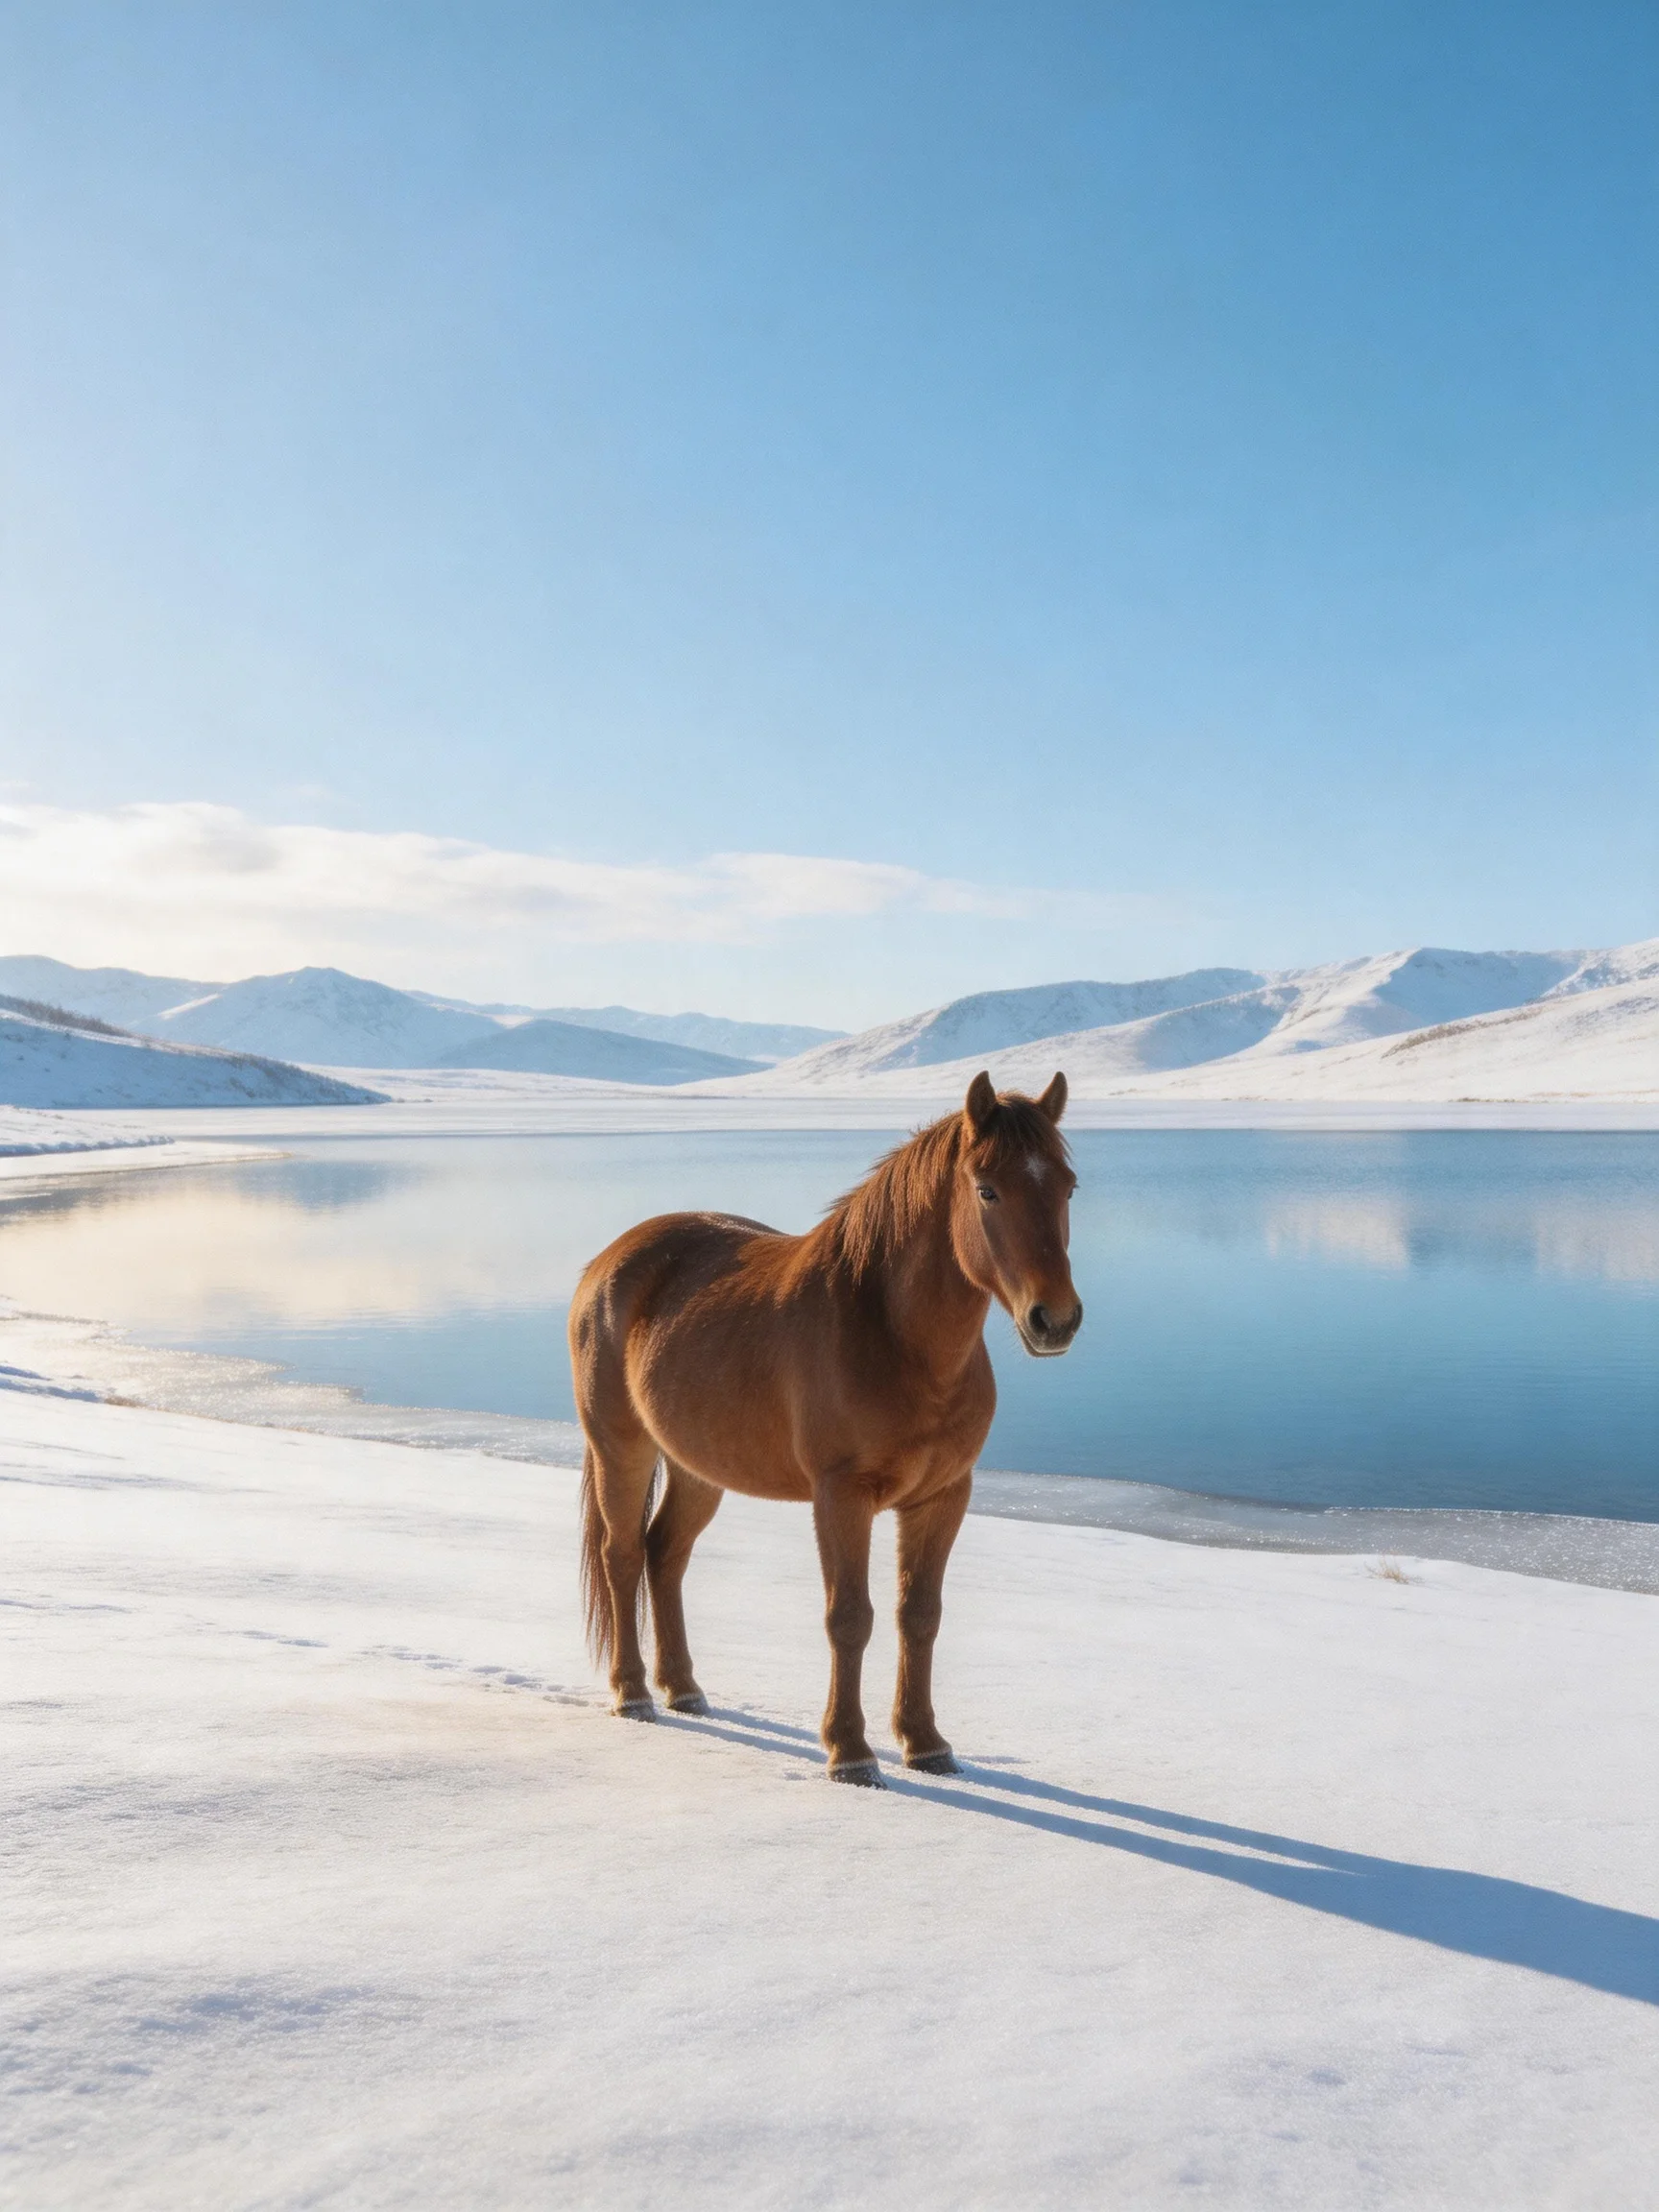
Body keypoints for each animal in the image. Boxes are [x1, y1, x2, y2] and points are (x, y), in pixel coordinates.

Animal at [567, 1070, 1082, 1785]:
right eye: (988, 1189)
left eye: (1067, 1186)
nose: (1054, 1319)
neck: (891, 1334)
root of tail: (607, 1262)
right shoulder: (842, 1497)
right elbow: (850, 1617)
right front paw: (850, 1752)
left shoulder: (943, 1497)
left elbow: (919, 1616)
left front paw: (925, 1743)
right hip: (622, 1448)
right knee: (621, 1555)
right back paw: (634, 1693)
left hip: (699, 1467)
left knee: (664, 1553)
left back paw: (685, 1689)